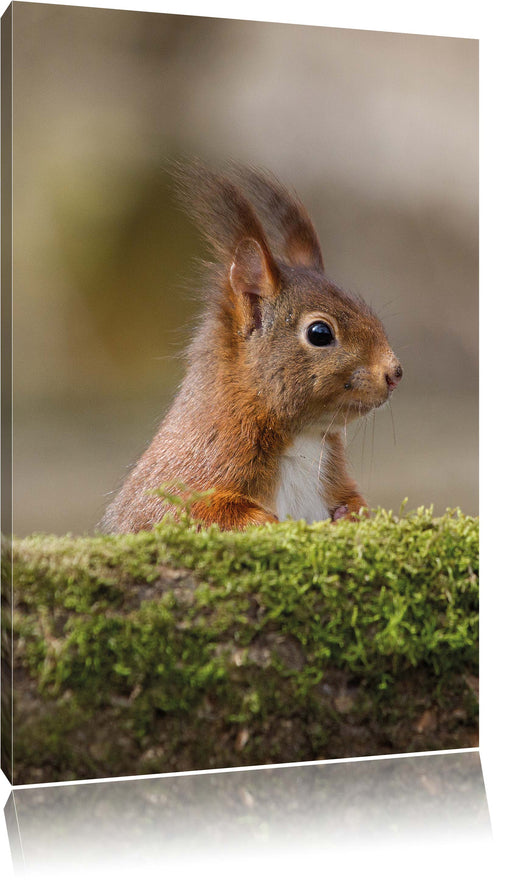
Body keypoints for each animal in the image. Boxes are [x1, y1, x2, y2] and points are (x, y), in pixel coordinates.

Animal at [101, 161, 404, 532]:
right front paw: (265, 521)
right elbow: (192, 513)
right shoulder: (189, 475)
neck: (304, 438)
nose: (395, 373)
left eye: (367, 310)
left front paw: (351, 515)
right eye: (319, 333)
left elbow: (354, 502)